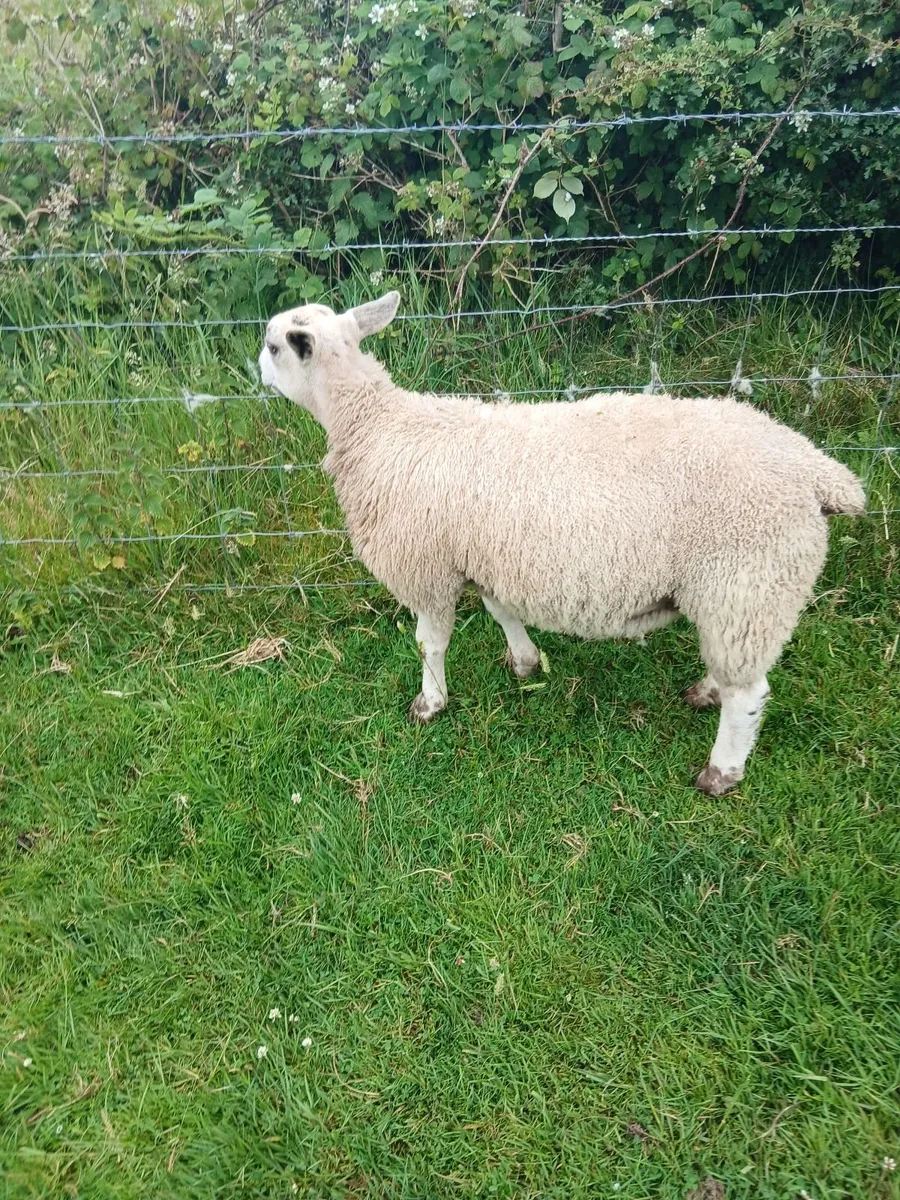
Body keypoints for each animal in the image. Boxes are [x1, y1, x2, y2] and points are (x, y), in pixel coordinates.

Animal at [258, 292, 866, 795]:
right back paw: (705, 693)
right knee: (731, 668)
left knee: (749, 694)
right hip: (739, 594)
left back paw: (721, 771)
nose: (254, 367)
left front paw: (429, 704)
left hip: (749, 580)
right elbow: (502, 611)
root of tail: (817, 471)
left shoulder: (426, 568)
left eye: (273, 345)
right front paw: (525, 662)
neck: (376, 426)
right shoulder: (488, 555)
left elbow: (429, 644)